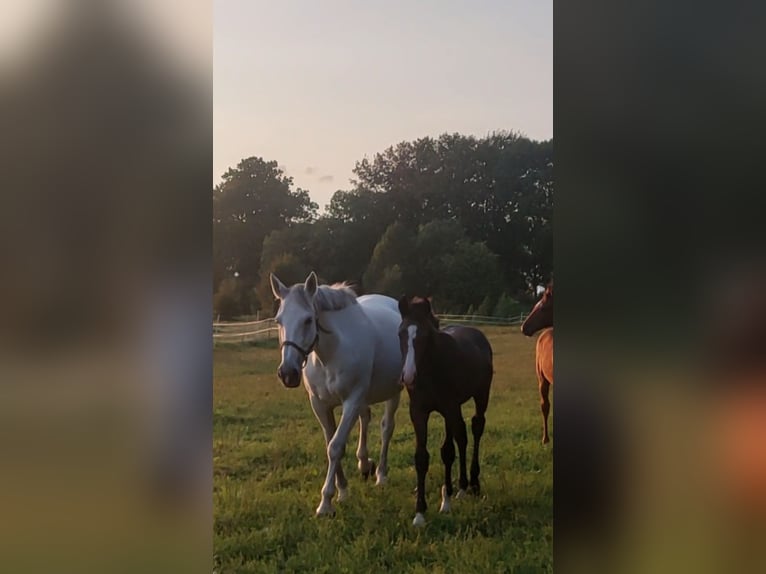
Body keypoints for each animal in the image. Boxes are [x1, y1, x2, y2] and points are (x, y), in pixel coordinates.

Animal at [270, 272, 404, 516]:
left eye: (308, 320)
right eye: (278, 321)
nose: (287, 373)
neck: (330, 354)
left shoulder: (351, 400)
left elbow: (335, 446)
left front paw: (325, 502)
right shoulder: (320, 405)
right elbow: (330, 443)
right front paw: (342, 491)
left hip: (393, 392)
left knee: (386, 429)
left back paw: (380, 475)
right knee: (365, 419)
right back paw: (364, 464)